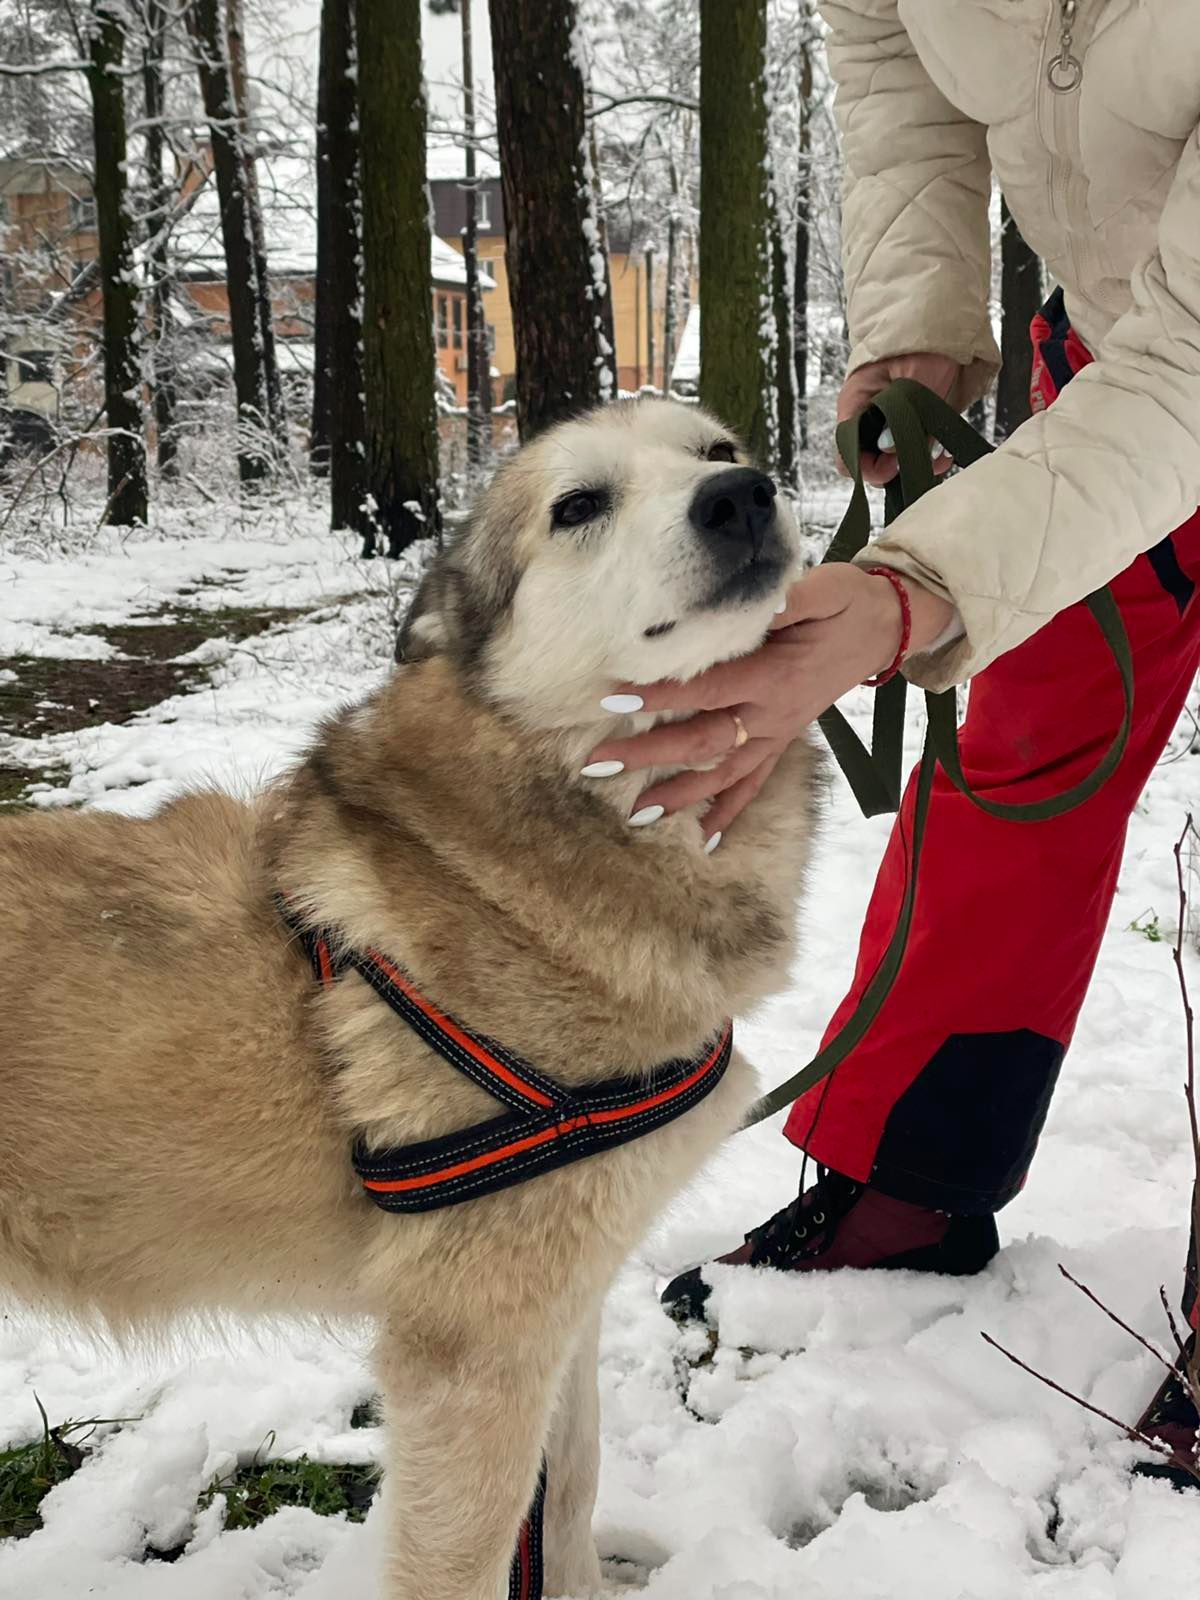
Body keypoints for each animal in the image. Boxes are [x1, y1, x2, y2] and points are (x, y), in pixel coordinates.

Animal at [0, 400, 819, 1600]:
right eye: (578, 504)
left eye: (716, 450)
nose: (743, 496)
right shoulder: (473, 1349)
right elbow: (472, 1557)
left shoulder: (560, 1310)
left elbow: (568, 1496)